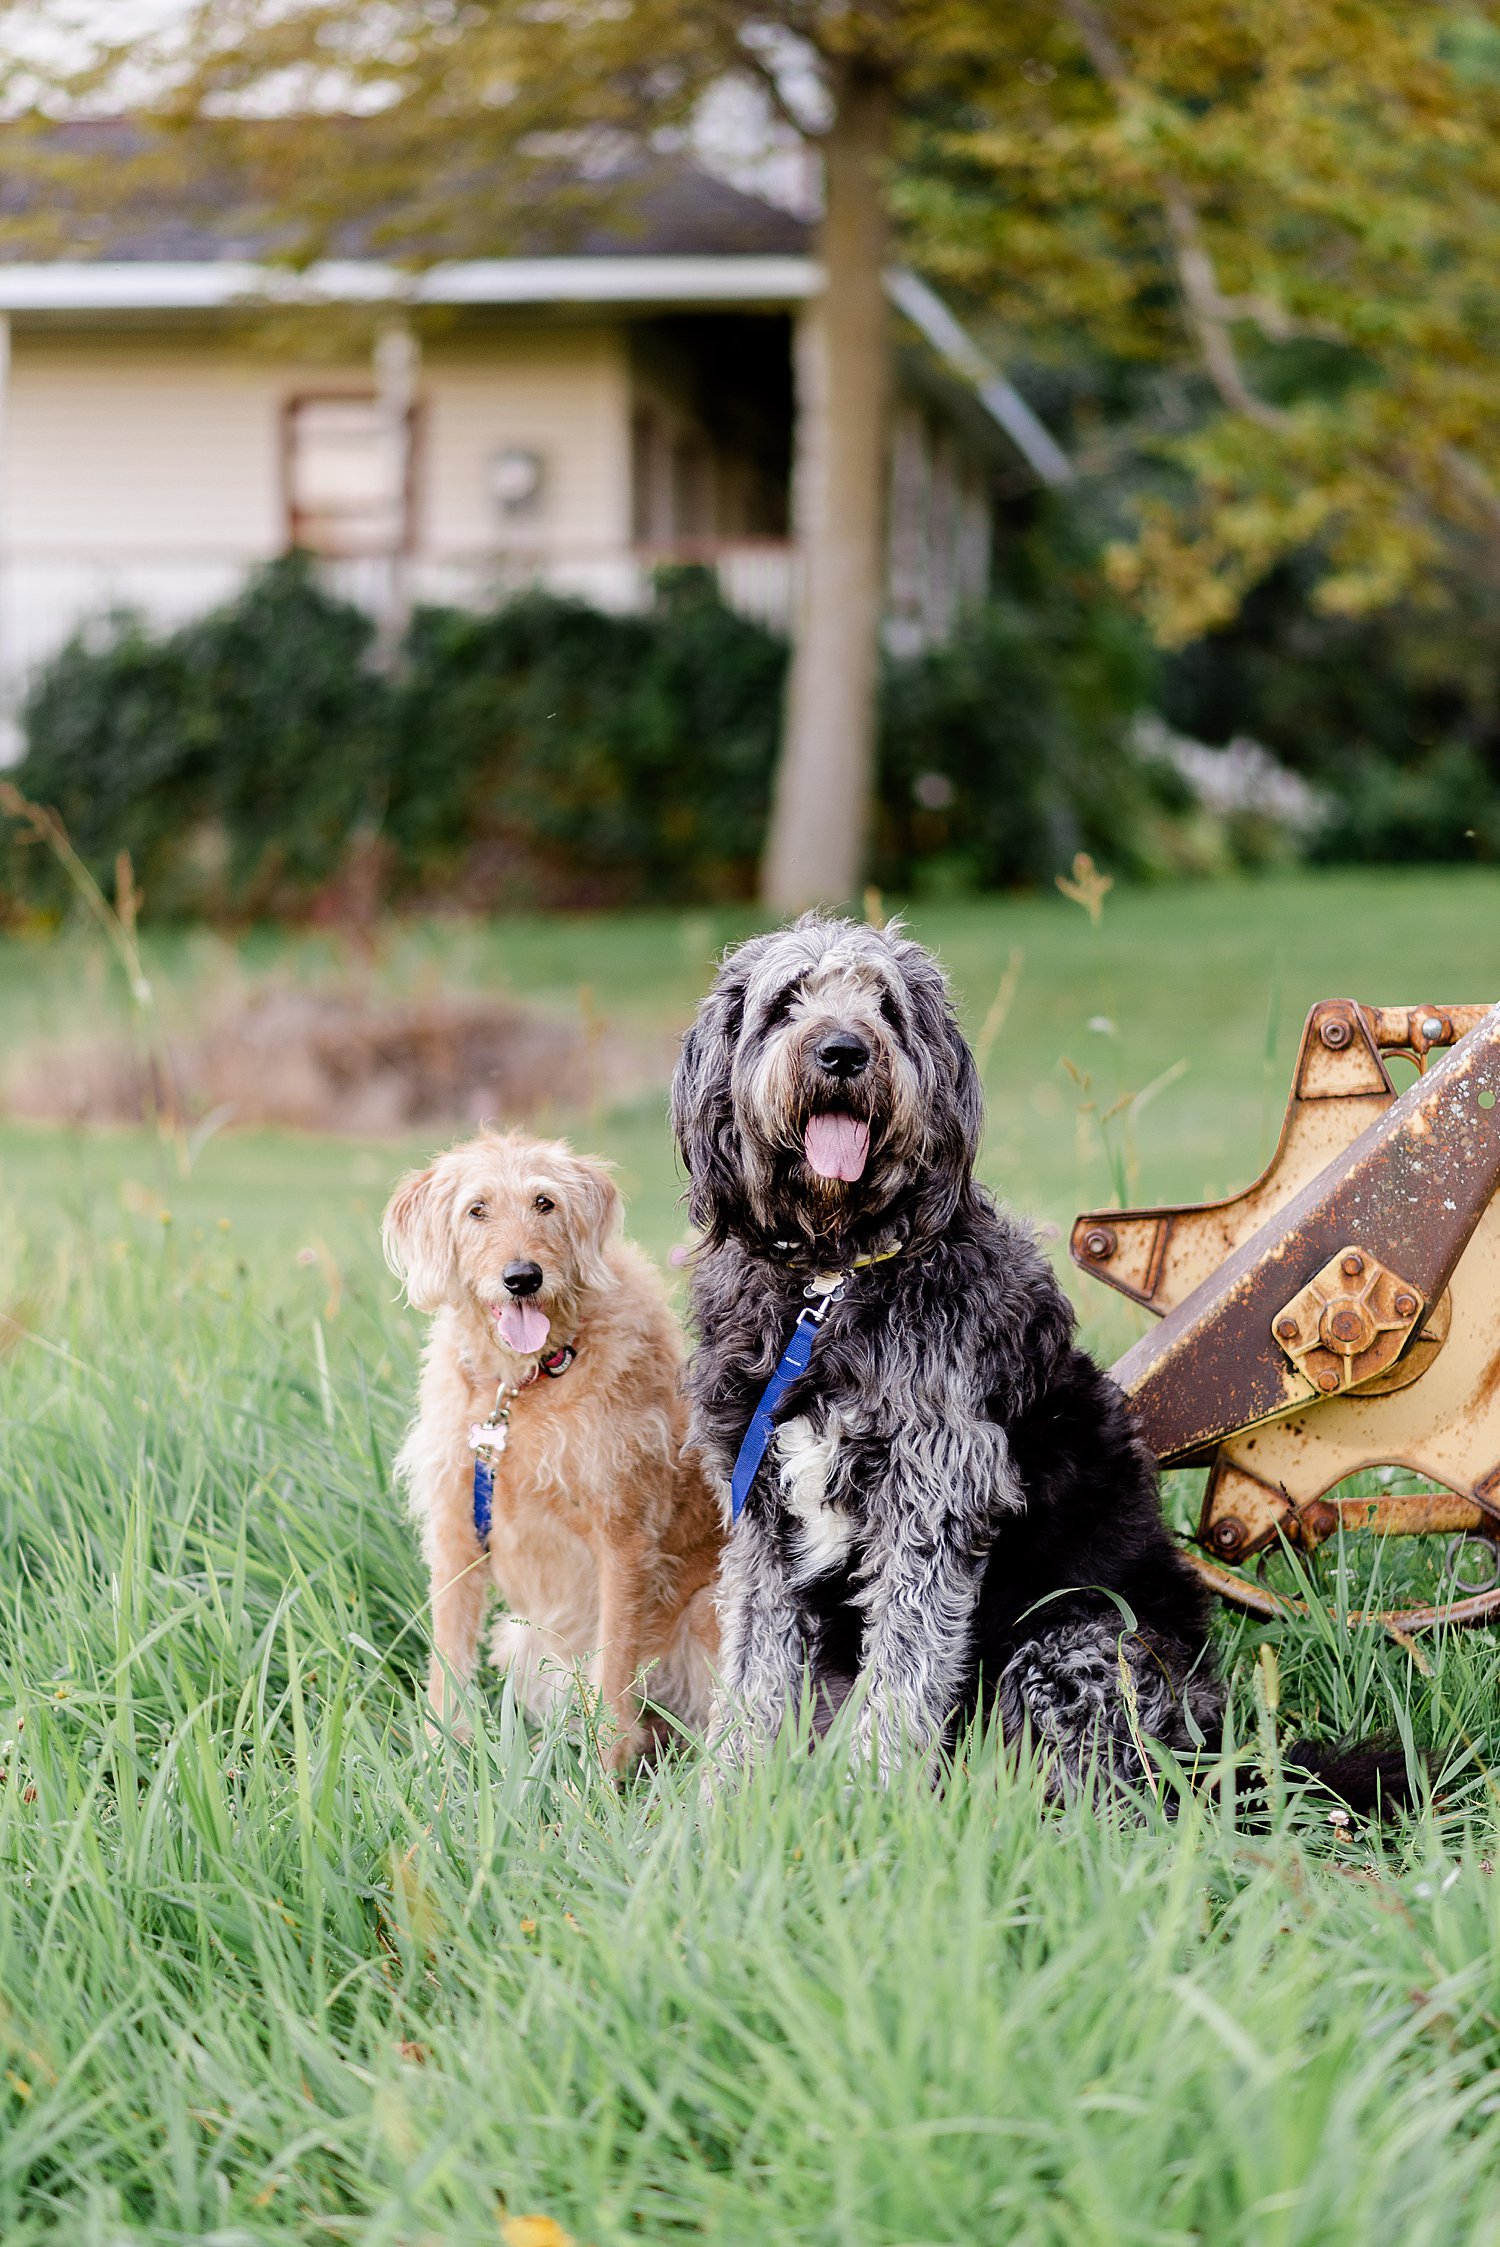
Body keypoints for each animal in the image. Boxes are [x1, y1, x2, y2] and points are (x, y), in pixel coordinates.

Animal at [381, 1132, 718, 1761]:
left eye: (545, 1203)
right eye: (476, 1209)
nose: (523, 1277)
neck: (521, 1385)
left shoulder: (623, 1536)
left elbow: (614, 1668)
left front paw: (606, 1773)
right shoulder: (456, 1531)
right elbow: (448, 1662)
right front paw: (441, 1761)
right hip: (525, 1642)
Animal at [669, 903, 1221, 1797]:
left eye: (885, 1006)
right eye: (786, 1001)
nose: (843, 1051)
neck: (833, 1275)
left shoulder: (935, 1492)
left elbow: (903, 1669)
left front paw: (865, 1798)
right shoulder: (760, 1518)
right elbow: (753, 1677)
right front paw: (726, 1800)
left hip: (1075, 1647)